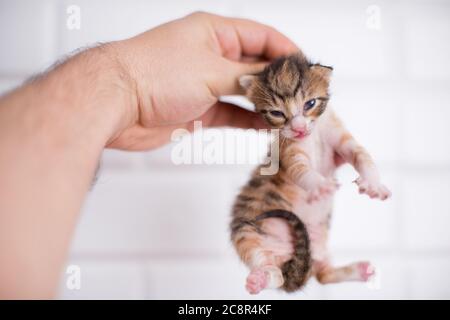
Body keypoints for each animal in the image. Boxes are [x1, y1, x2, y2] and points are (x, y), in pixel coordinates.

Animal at [230, 53, 392, 296]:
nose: (298, 128)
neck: (312, 135)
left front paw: (374, 183)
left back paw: (361, 270)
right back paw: (260, 279)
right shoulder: (289, 152)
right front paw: (319, 186)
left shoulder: (341, 140)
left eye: (310, 104)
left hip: (321, 245)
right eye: (277, 113)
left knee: (323, 275)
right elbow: (301, 171)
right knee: (273, 271)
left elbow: (362, 156)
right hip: (247, 232)